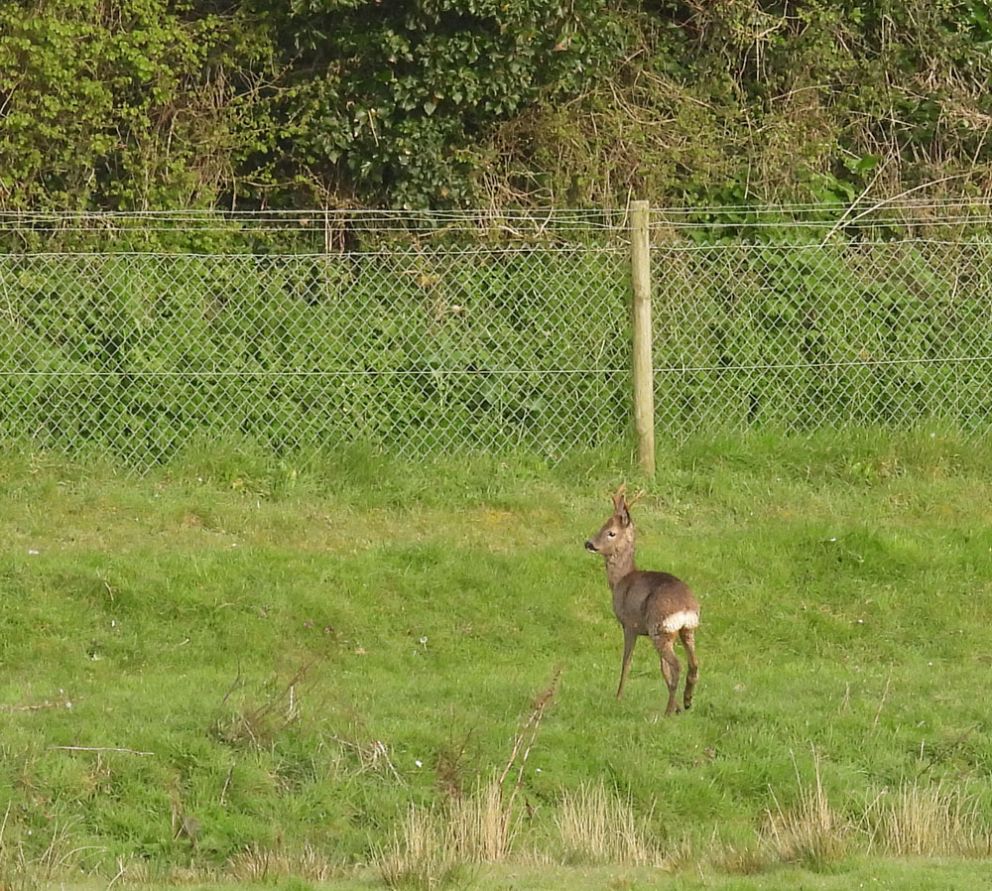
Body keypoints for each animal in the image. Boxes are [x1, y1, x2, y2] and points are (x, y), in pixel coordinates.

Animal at [584, 486, 700, 716]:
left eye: (611, 532)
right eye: (602, 524)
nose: (589, 543)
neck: (621, 580)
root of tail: (685, 608)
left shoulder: (630, 624)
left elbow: (626, 662)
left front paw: (618, 697)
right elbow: (661, 669)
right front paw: (677, 706)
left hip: (659, 628)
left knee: (677, 665)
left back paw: (668, 711)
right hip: (685, 630)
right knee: (693, 663)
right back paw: (686, 702)